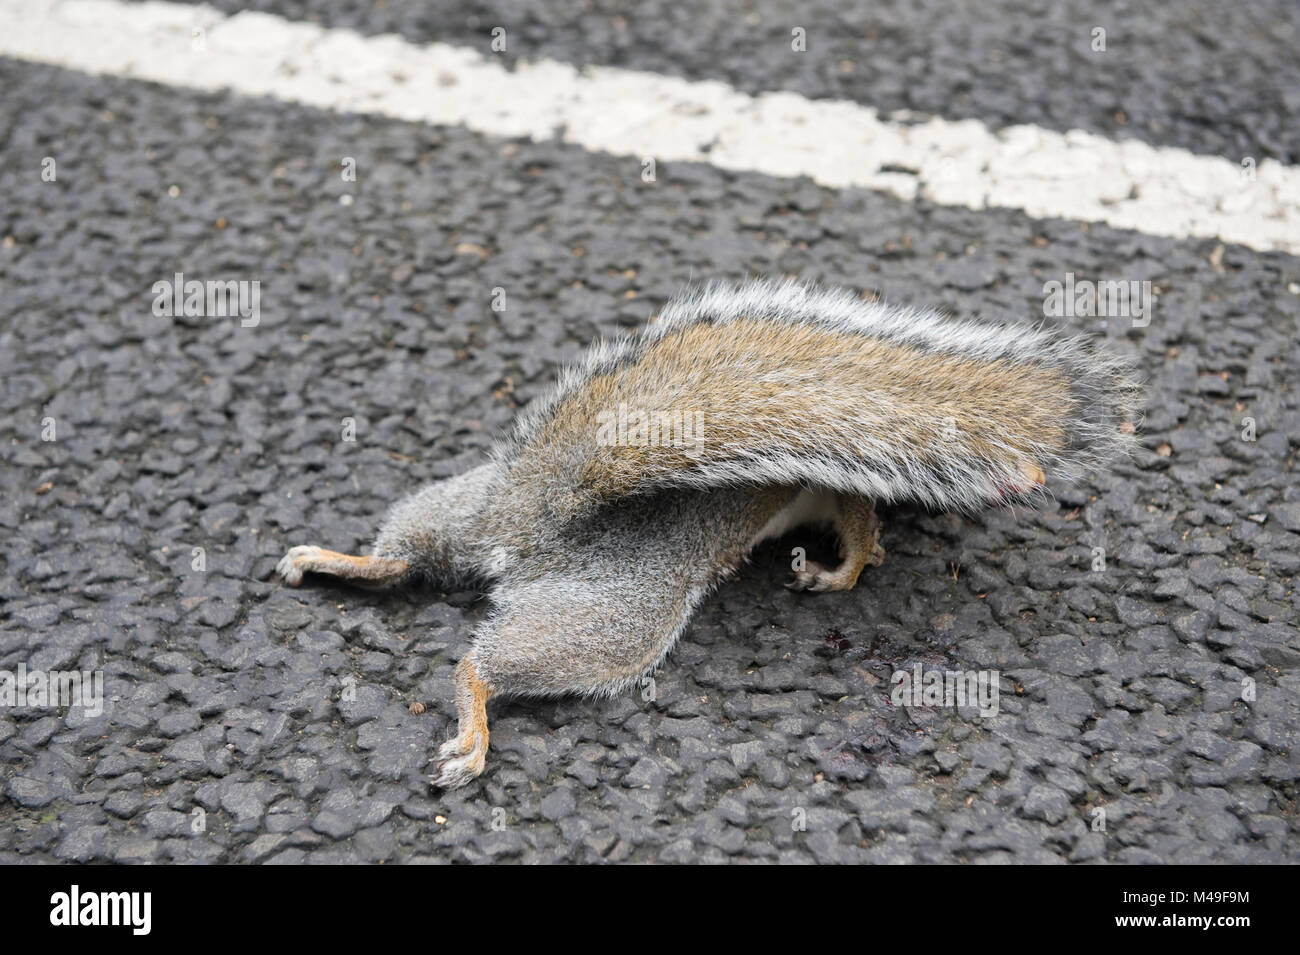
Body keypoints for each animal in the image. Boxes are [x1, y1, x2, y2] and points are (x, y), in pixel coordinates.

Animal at [271, 280, 1138, 789]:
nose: (1029, 481)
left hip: (461, 509)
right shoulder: (846, 486)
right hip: (618, 614)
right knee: (485, 663)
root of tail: (533, 523)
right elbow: (858, 538)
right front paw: (844, 570)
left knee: (403, 556)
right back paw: (474, 728)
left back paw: (328, 559)